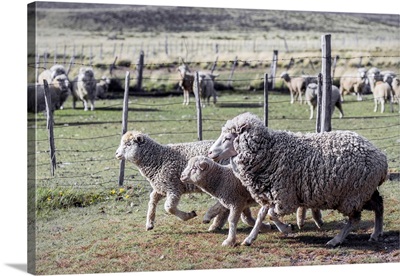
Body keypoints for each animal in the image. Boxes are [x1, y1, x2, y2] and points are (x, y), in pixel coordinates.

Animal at [209, 113, 388, 247]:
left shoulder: (285, 197)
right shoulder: (269, 193)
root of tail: (381, 158)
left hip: (353, 195)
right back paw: (376, 233)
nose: (210, 153)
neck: (269, 153)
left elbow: (271, 214)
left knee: (355, 219)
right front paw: (249, 239)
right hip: (364, 192)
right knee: (379, 205)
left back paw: (336, 240)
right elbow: (261, 215)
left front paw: (287, 228)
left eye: (227, 138)